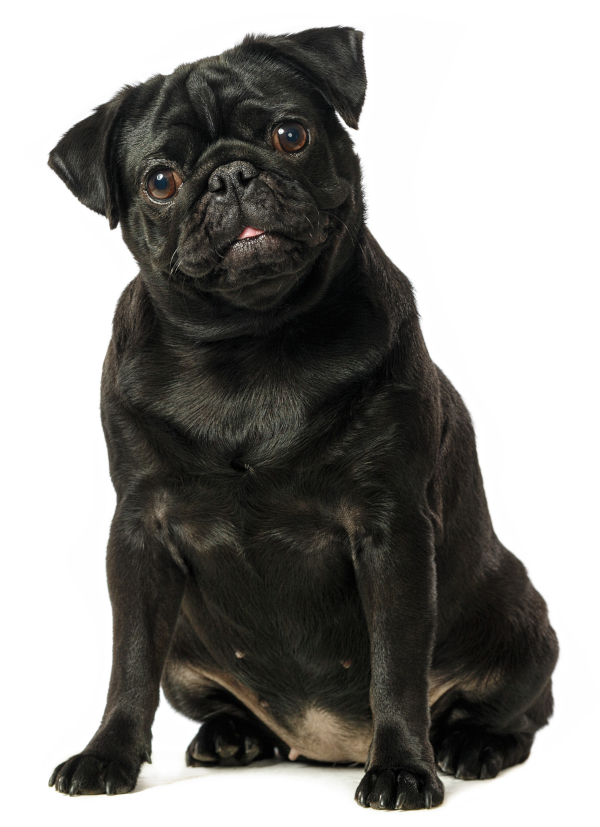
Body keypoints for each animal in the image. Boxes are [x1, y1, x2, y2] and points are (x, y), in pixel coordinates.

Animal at [47, 26, 558, 810]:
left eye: (290, 135)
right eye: (161, 181)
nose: (230, 175)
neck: (253, 345)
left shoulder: (390, 530)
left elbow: (396, 665)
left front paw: (403, 767)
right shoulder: (139, 533)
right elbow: (128, 661)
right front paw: (108, 754)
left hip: (523, 621)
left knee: (518, 710)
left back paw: (471, 745)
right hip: (186, 649)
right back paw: (232, 735)